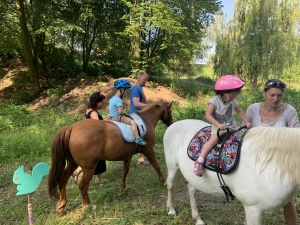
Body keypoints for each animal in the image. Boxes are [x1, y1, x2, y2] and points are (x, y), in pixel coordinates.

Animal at [163, 118, 300, 224]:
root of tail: (174, 124)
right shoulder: (253, 209)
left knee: (191, 189)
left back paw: (197, 219)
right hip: (172, 166)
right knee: (170, 185)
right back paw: (171, 210)